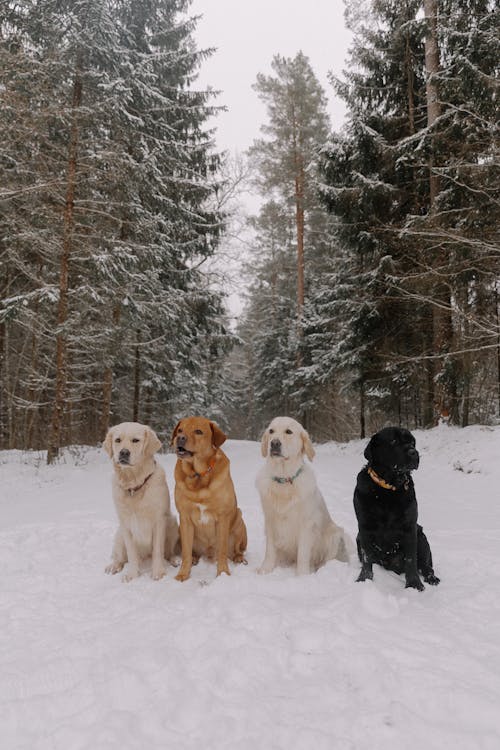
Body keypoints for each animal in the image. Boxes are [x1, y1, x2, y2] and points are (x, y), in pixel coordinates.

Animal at [102, 424, 179, 580]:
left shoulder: (159, 521)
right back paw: (113, 566)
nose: (123, 453)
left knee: (168, 553)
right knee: (120, 558)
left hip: (172, 523)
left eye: (135, 440)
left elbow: (158, 550)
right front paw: (132, 575)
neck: (134, 485)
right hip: (119, 536)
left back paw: (174, 560)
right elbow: (131, 555)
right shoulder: (126, 524)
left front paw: (158, 573)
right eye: (117, 440)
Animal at [171, 418, 247, 580]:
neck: (198, 475)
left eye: (198, 431)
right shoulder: (185, 518)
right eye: (180, 430)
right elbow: (186, 553)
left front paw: (223, 573)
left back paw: (238, 557)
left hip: (239, 519)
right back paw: (195, 558)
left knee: (236, 549)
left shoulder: (223, 517)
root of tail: (209, 554)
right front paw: (183, 574)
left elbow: (223, 550)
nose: (179, 438)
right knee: (192, 552)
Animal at [256, 414, 354, 580]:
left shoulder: (306, 525)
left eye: (289, 431)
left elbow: (302, 554)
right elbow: (269, 551)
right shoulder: (270, 521)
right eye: (271, 431)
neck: (284, 480)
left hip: (335, 535)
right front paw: (265, 570)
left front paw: (302, 576)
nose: (274, 443)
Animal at [354, 428, 440, 592]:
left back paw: (432, 578)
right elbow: (367, 557)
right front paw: (364, 579)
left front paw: (414, 585)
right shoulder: (364, 528)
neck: (389, 489)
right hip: (358, 538)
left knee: (427, 566)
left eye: (412, 442)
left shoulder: (410, 528)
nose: (413, 452)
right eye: (393, 441)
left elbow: (411, 559)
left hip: (421, 537)